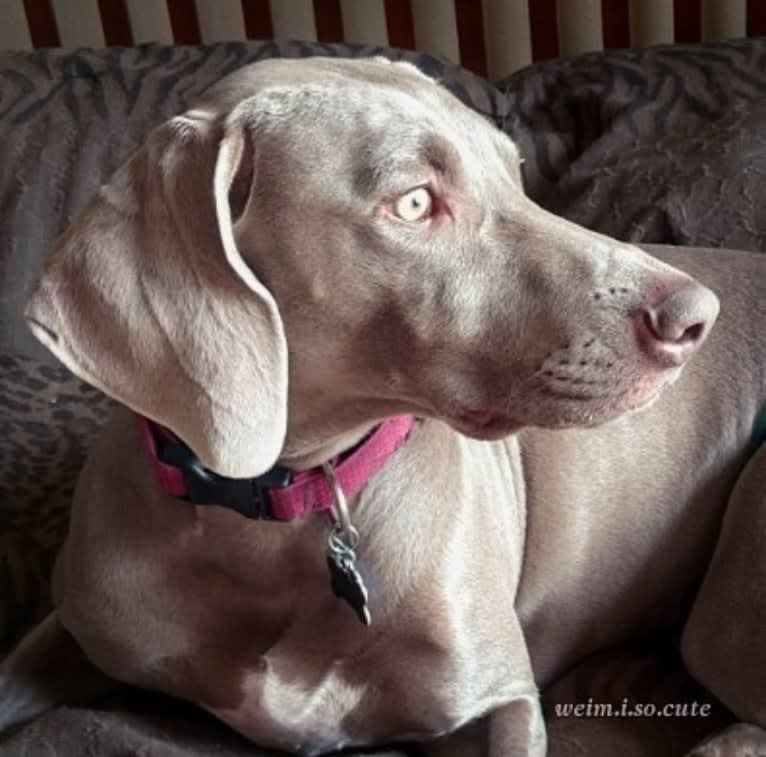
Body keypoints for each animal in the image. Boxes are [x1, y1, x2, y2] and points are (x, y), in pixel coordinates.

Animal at [1, 56, 766, 752]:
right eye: (415, 203)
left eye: (514, 174)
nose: (697, 317)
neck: (270, 513)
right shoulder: (72, 624)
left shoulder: (503, 697)